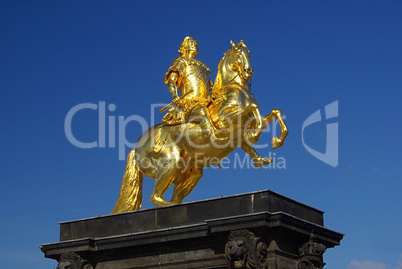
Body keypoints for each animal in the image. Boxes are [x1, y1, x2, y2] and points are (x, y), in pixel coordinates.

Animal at [111, 40, 288, 213]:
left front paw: (275, 142)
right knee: (156, 197)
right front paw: (256, 135)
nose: (248, 70)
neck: (236, 90)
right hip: (170, 164)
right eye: (238, 53)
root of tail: (136, 148)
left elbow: (275, 113)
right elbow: (253, 108)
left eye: (249, 53)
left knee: (173, 197)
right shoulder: (224, 122)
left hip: (191, 173)